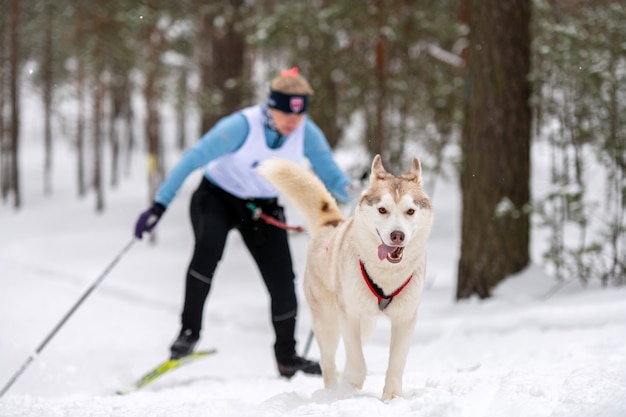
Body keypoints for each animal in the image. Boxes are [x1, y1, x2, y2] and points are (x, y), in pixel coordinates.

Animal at [256, 154, 432, 400]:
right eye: (382, 210)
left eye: (410, 211)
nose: (397, 235)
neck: (385, 276)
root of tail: (331, 225)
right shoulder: (348, 314)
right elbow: (357, 362)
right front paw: (351, 385)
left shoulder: (405, 318)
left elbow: (396, 363)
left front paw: (392, 397)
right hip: (327, 322)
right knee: (329, 361)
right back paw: (332, 391)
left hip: (366, 325)